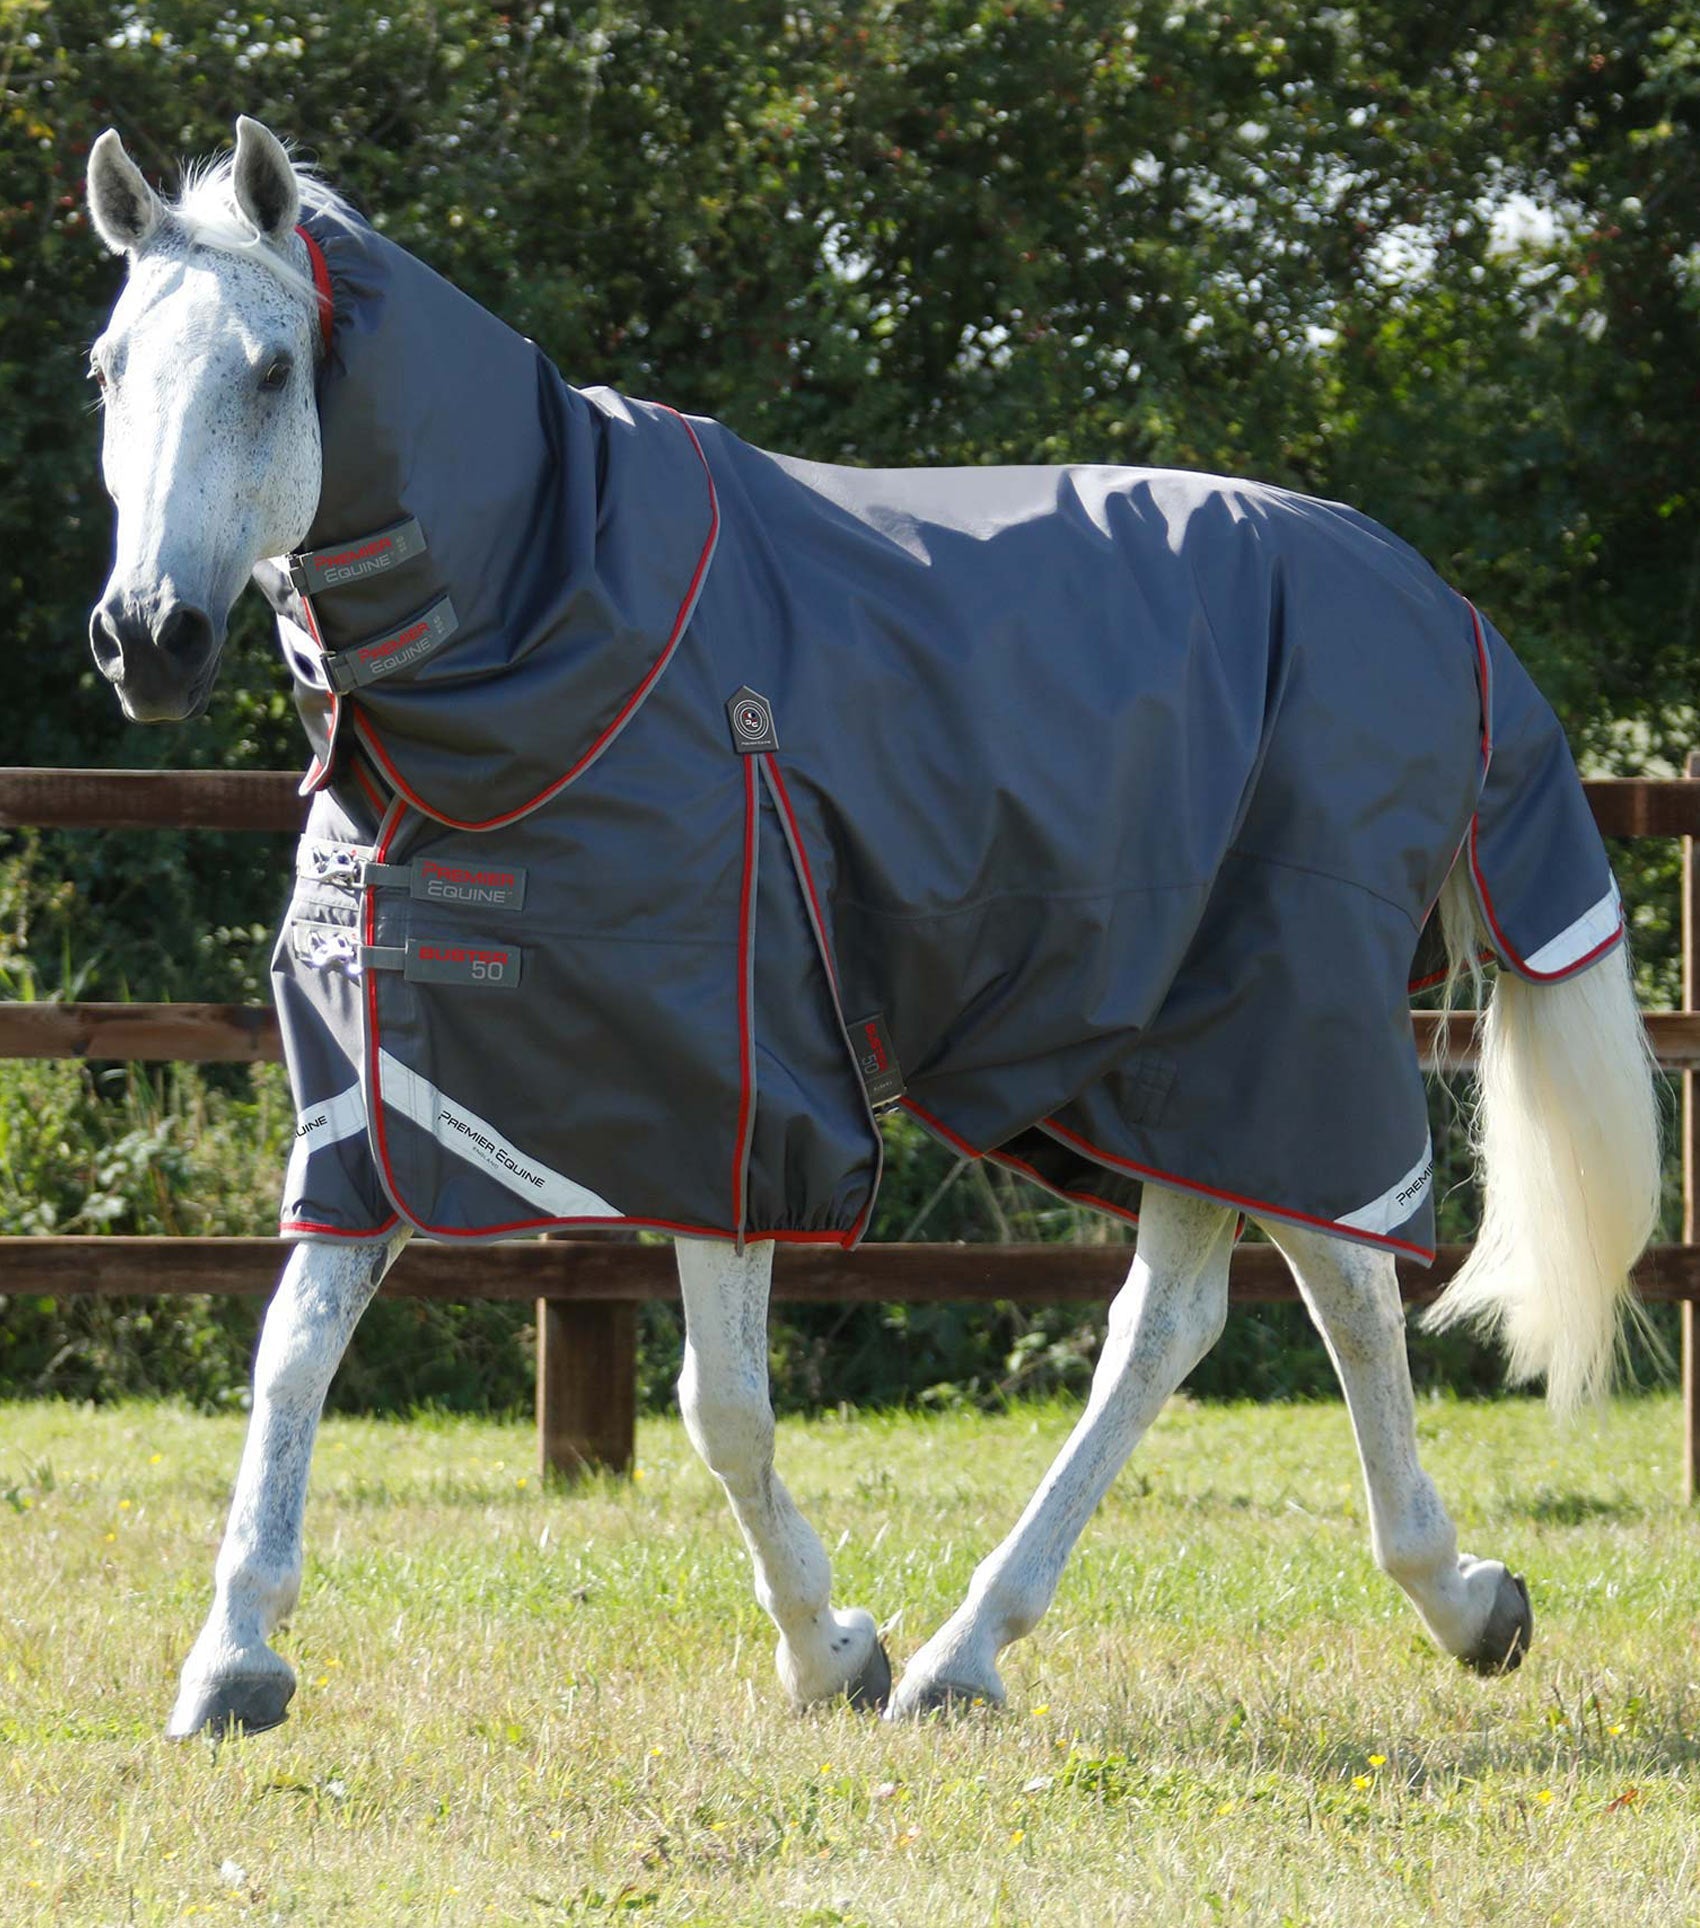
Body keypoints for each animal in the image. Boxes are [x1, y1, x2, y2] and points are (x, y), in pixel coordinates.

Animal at [83, 119, 1660, 1739]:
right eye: (107, 370)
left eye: (274, 366)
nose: (148, 640)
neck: (562, 624)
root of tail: (1434, 604)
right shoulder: (400, 1087)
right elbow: (291, 1355)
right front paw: (233, 1658)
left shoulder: (728, 1092)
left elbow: (721, 1406)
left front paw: (827, 1647)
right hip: (1164, 1053)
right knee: (1175, 1319)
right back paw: (994, 1645)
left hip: (1284, 1021)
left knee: (1340, 1280)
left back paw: (1442, 1601)